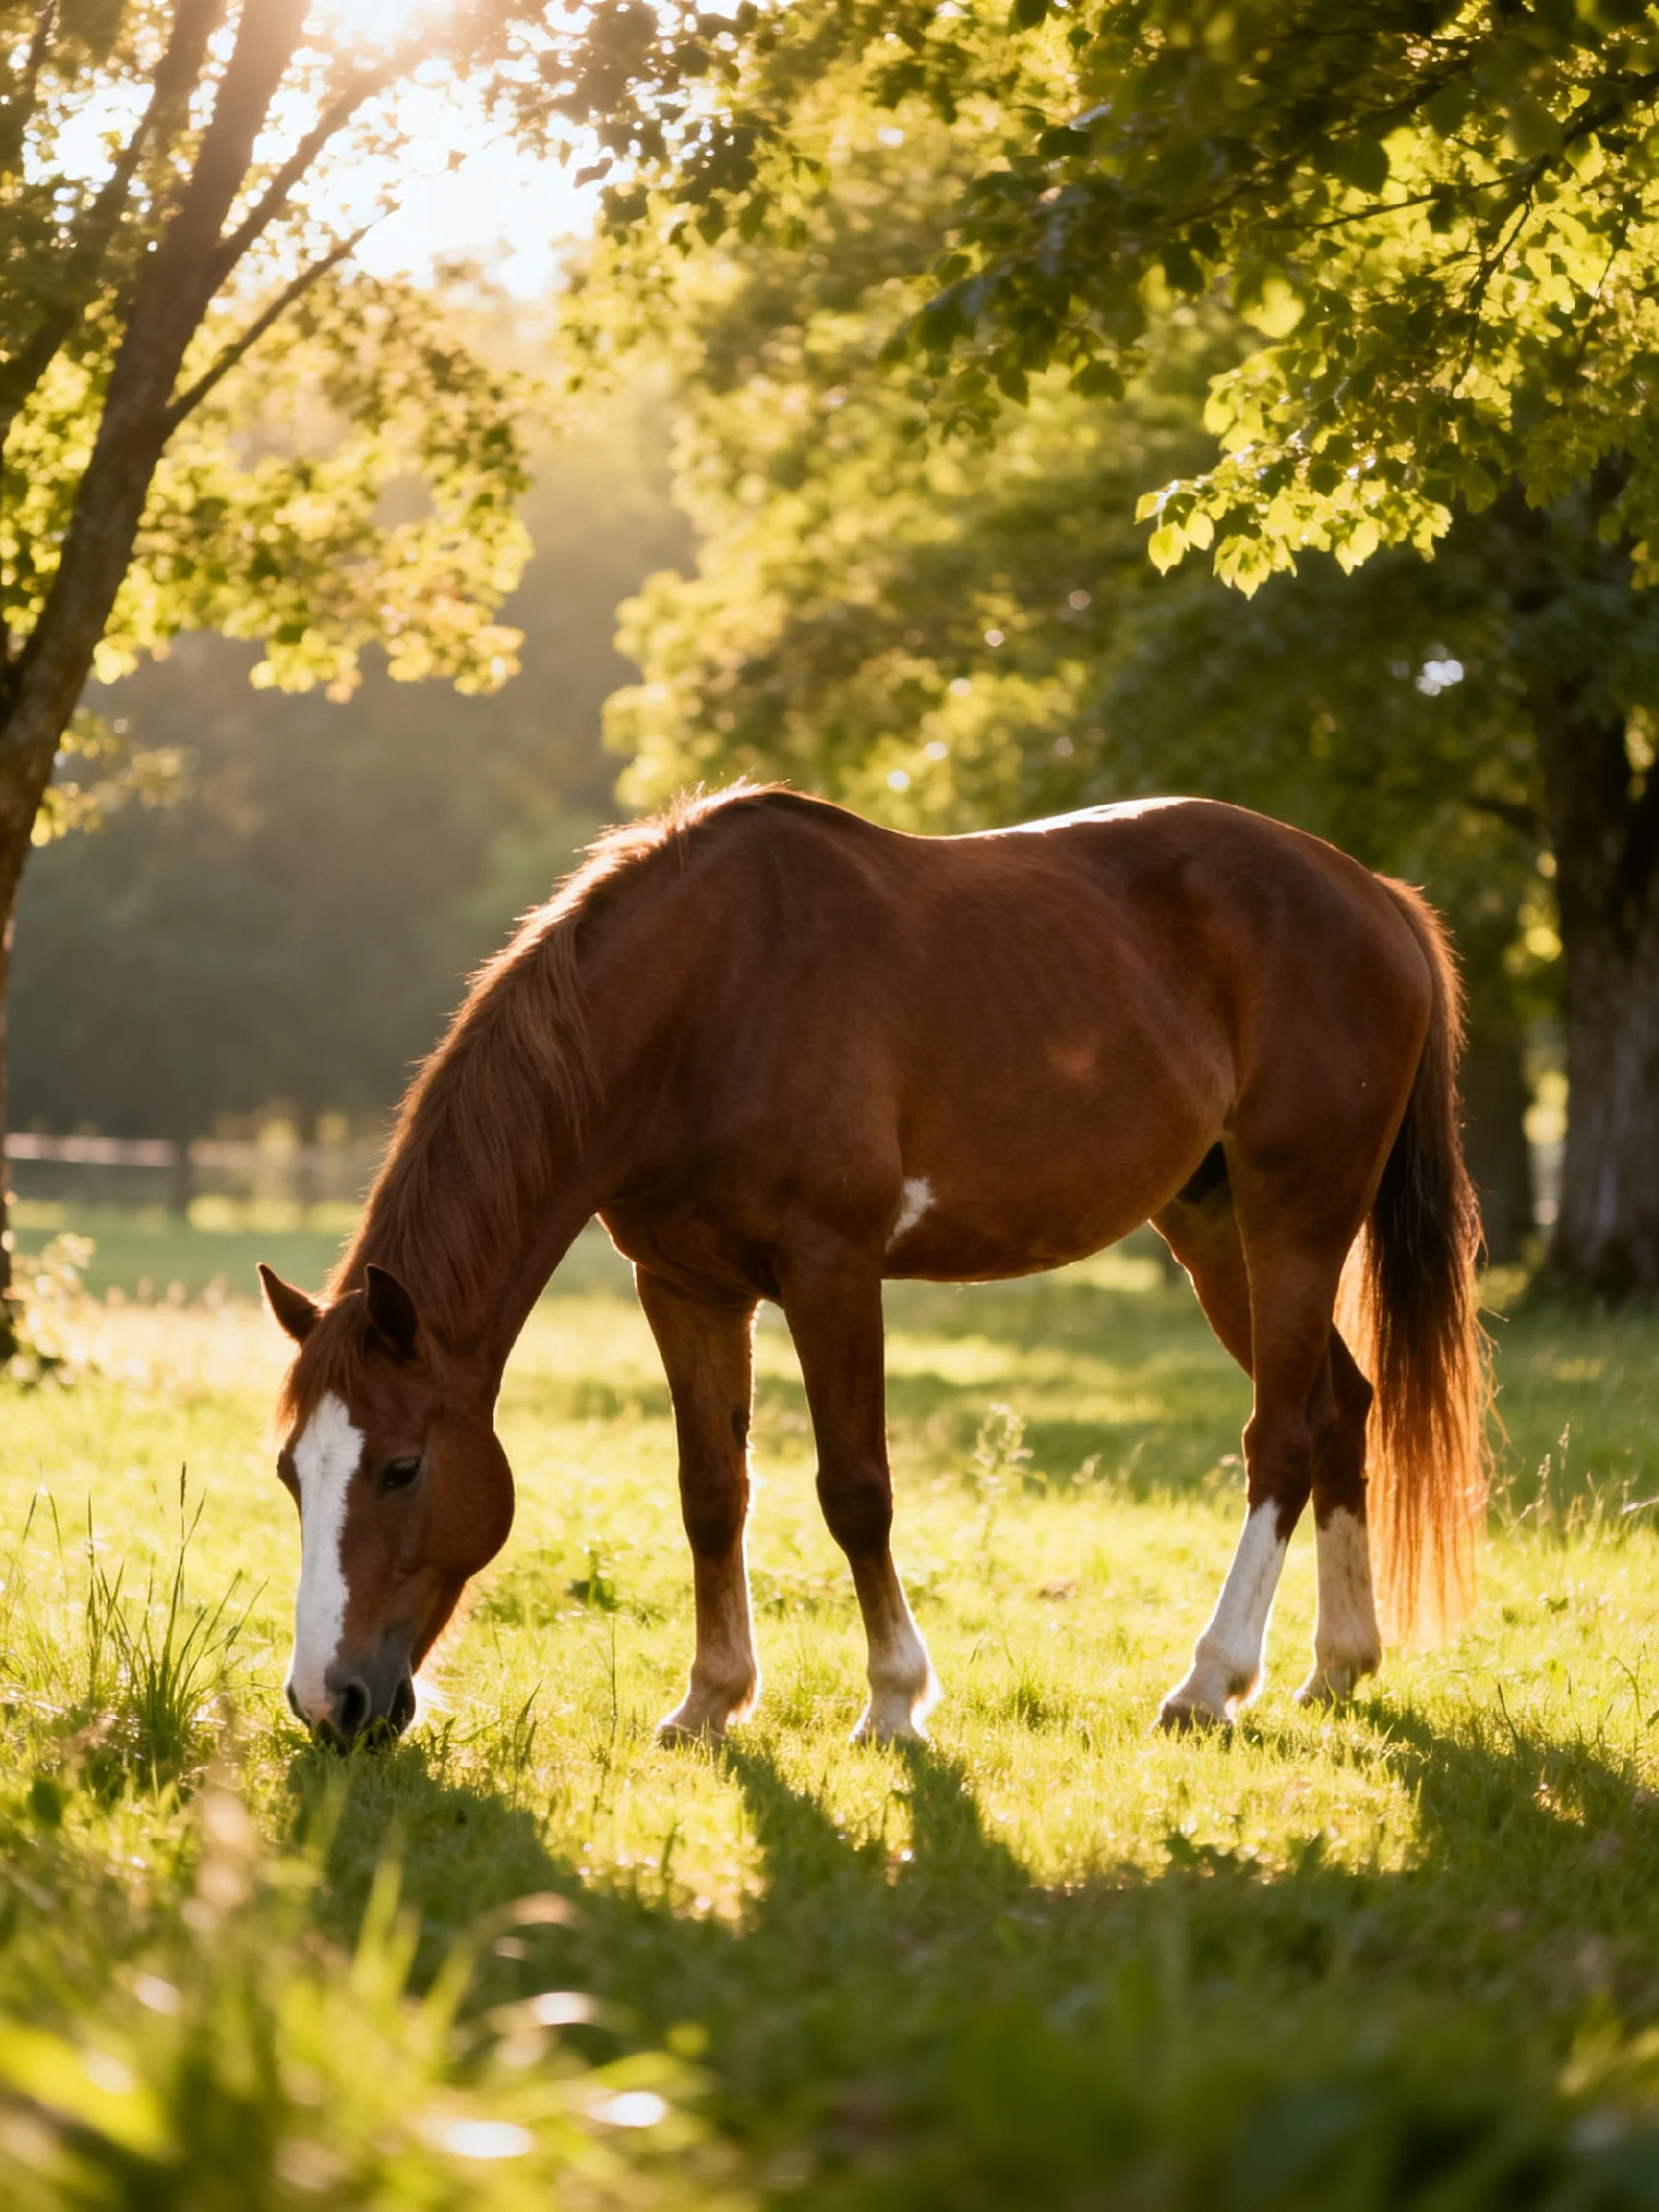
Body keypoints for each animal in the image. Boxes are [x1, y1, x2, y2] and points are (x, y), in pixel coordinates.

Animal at [260, 784, 1488, 1749]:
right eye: (290, 1475)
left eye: (403, 1468)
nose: (330, 1705)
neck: (706, 997)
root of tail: (1375, 894)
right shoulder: (687, 1289)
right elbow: (711, 1491)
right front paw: (710, 1702)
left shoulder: (832, 1272)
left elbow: (855, 1490)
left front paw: (895, 1701)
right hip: (1215, 1229)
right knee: (1340, 1407)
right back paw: (1337, 1666)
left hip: (1297, 1220)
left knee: (1279, 1436)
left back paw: (1209, 1681)